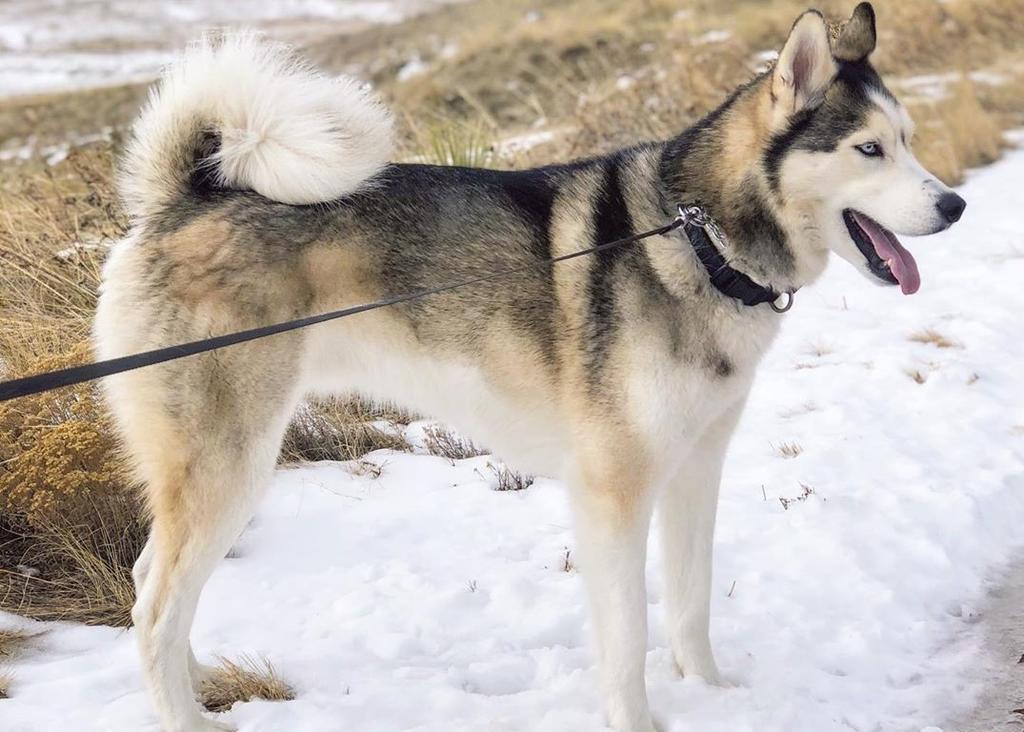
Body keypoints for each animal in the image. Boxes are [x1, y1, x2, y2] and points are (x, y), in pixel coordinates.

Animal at [96, 5, 966, 732]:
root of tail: (183, 198)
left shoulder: (695, 470)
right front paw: (640, 724)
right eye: (868, 149)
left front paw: (717, 700)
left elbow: (690, 607)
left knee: (149, 583)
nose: (954, 205)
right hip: (232, 463)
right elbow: (629, 635)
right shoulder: (613, 493)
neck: (703, 242)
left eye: (911, 138)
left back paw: (196, 681)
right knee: (155, 605)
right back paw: (185, 717)